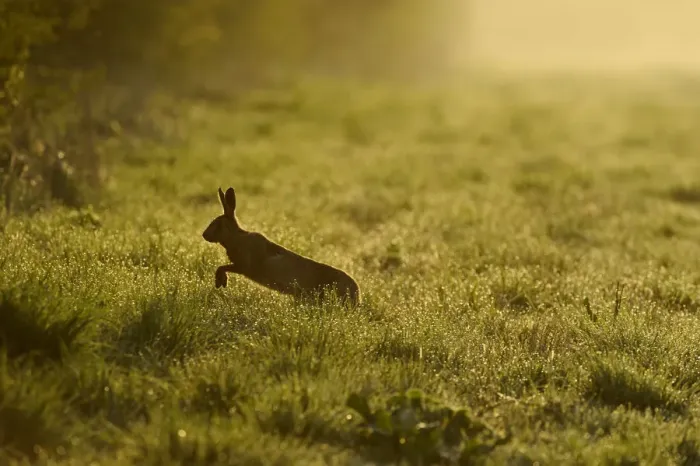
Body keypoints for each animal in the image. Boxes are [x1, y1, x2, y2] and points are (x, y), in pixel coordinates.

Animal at [202, 187, 361, 306]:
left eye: (216, 224)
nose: (204, 235)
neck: (236, 237)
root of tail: (356, 294)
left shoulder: (243, 265)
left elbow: (222, 267)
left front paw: (220, 282)